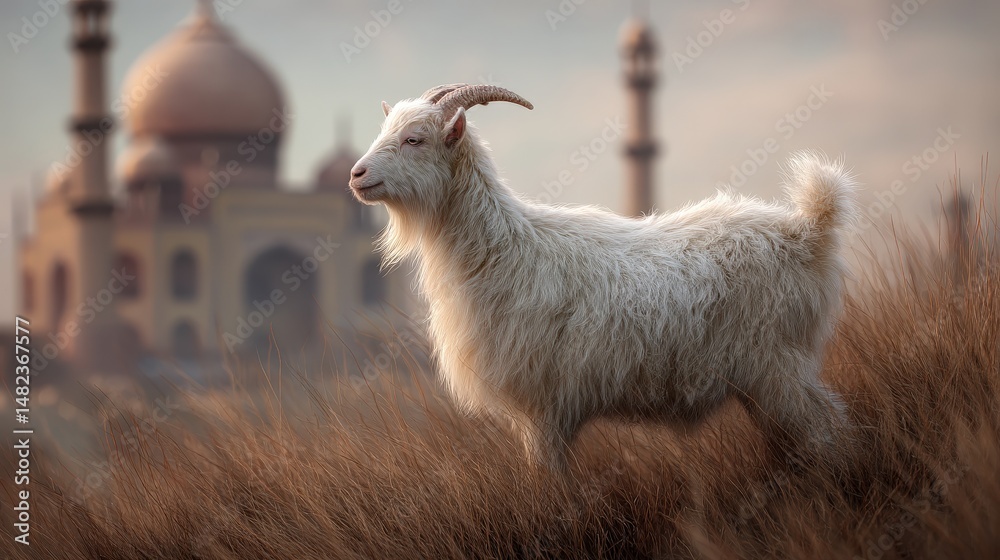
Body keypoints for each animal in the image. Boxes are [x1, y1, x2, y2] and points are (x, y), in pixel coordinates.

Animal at [350, 84, 856, 471]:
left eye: (415, 139)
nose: (356, 174)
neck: (504, 246)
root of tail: (806, 230)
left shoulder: (544, 409)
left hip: (779, 366)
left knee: (827, 430)